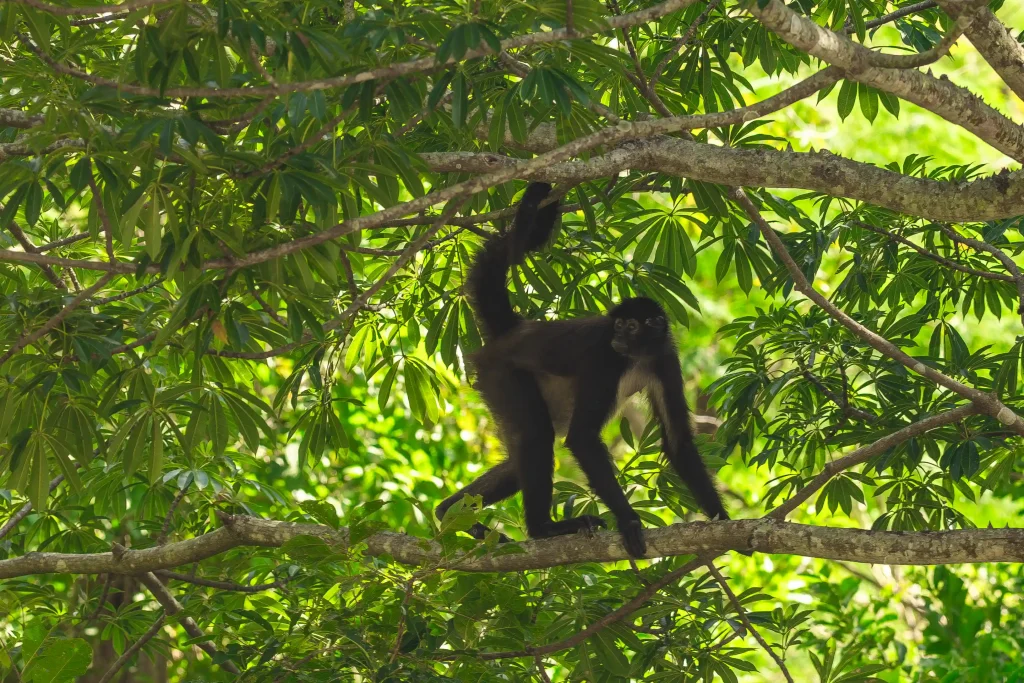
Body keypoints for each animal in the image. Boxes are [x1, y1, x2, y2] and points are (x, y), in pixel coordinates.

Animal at [435, 182, 733, 558]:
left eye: (630, 327)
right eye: (617, 325)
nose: (618, 336)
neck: (636, 357)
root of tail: (517, 330)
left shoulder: (665, 360)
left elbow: (678, 441)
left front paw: (721, 518)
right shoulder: (604, 358)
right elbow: (581, 438)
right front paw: (628, 522)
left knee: (521, 457)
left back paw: (448, 513)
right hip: (503, 374)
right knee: (537, 436)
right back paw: (543, 529)